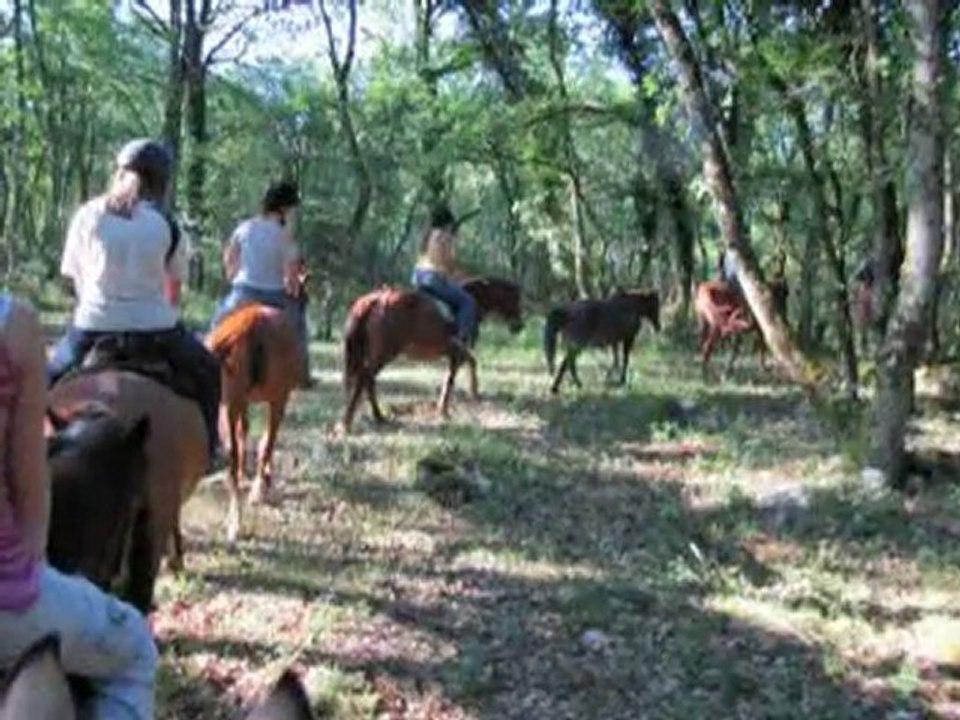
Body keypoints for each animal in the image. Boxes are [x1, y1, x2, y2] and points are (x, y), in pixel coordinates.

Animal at [206, 303, 301, 543]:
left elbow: (245, 438)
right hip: (273, 400)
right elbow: (265, 443)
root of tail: (253, 321)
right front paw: (265, 482)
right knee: (264, 444)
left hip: (230, 403)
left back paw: (235, 521)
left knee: (234, 456)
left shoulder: (241, 403)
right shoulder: (278, 399)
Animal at [340, 276, 523, 432]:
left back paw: (377, 417)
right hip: (385, 353)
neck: (475, 299)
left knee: (367, 380)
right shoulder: (459, 352)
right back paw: (348, 423)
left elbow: (464, 368)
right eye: (515, 300)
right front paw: (446, 410)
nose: (519, 326)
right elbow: (452, 378)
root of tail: (374, 300)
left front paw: (470, 394)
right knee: (365, 377)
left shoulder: (457, 352)